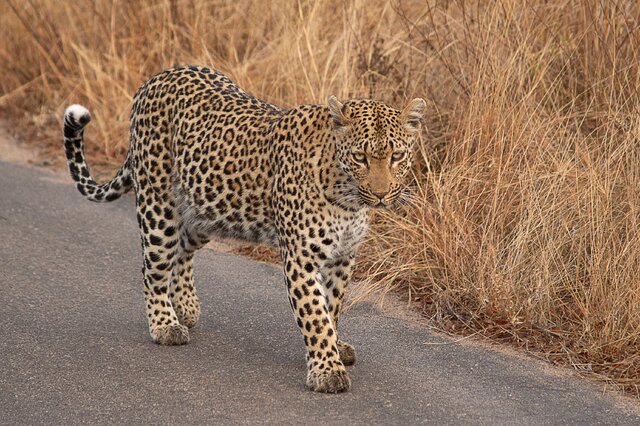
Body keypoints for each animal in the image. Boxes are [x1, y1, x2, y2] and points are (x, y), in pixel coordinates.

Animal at [62, 64, 424, 392]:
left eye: (397, 156)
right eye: (361, 157)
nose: (381, 193)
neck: (348, 198)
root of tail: (156, 77)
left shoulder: (343, 257)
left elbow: (331, 307)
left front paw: (334, 348)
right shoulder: (302, 258)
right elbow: (315, 315)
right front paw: (327, 371)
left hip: (206, 211)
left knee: (182, 249)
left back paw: (186, 306)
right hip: (158, 206)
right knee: (154, 266)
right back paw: (165, 324)